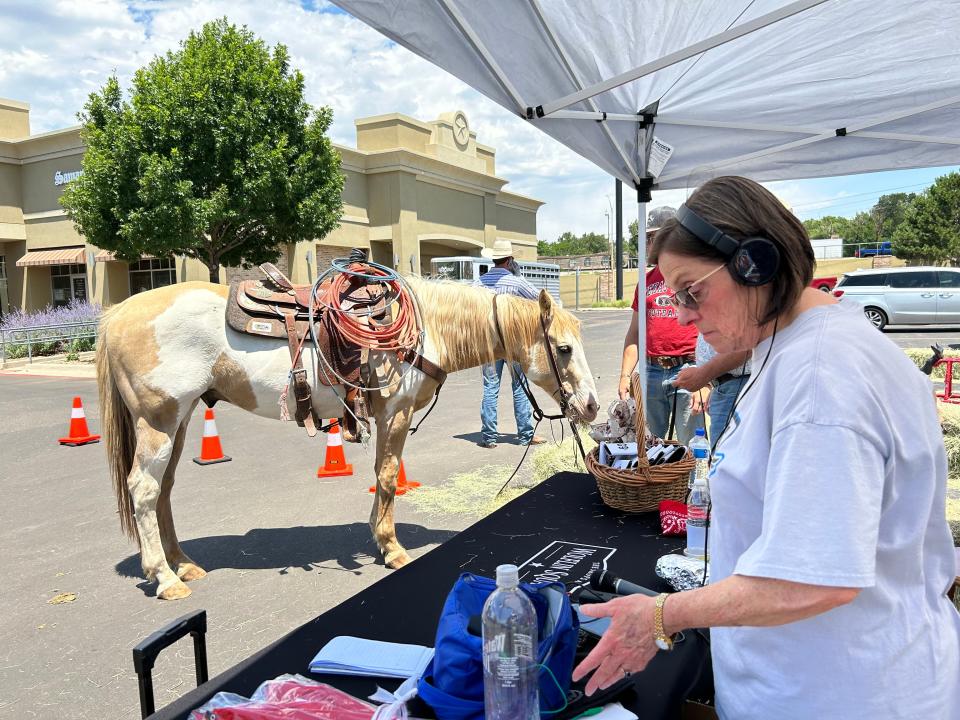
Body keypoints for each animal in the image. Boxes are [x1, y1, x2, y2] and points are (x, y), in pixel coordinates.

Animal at [94, 274, 596, 596]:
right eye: (563, 349)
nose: (591, 405)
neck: (424, 329)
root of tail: (118, 314)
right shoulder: (394, 414)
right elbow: (389, 477)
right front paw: (393, 549)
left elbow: (382, 476)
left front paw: (380, 538)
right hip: (158, 422)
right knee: (143, 489)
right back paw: (164, 578)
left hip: (177, 423)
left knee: (162, 491)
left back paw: (183, 565)